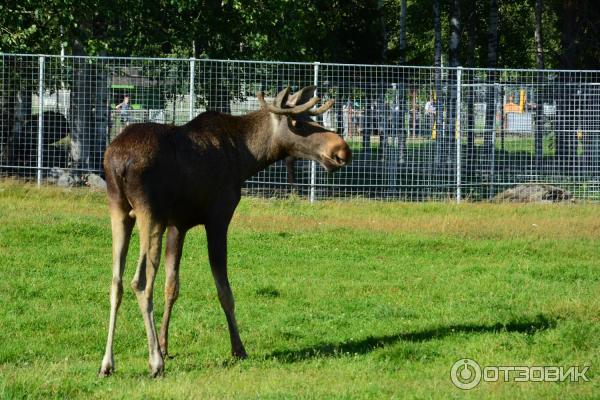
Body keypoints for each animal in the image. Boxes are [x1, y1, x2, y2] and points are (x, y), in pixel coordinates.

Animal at [98, 86, 352, 376]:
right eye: (298, 122)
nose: (341, 149)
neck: (246, 157)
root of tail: (119, 162)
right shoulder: (218, 218)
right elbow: (224, 291)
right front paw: (238, 348)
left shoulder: (177, 224)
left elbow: (171, 286)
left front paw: (164, 345)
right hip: (148, 215)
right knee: (139, 282)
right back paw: (154, 363)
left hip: (118, 210)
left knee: (115, 281)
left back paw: (107, 363)